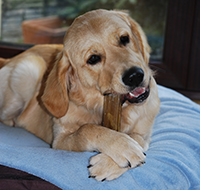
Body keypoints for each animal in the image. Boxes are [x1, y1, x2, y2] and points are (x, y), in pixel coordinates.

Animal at [0, 10, 159, 181]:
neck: (96, 103)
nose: (134, 76)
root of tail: (8, 59)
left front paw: (108, 163)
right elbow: (87, 130)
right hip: (30, 68)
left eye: (124, 38)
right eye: (93, 58)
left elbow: (138, 137)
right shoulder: (59, 141)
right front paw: (123, 146)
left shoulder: (145, 132)